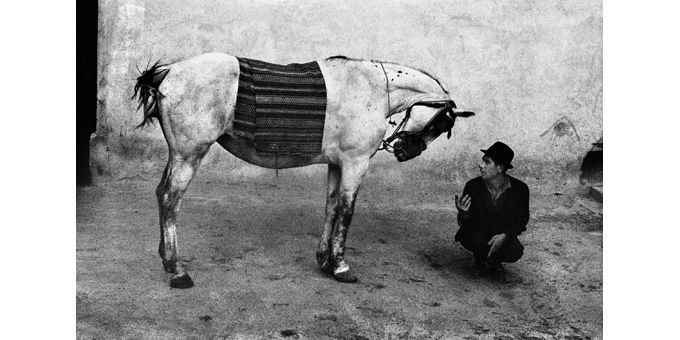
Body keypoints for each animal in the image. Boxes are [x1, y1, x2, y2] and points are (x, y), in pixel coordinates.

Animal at [131, 51, 472, 288]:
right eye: (442, 123)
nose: (405, 151)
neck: (372, 88)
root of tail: (171, 71)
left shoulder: (336, 164)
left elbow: (331, 209)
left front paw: (325, 261)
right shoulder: (355, 163)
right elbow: (346, 213)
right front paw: (341, 266)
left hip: (177, 154)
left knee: (161, 194)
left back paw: (166, 259)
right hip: (189, 154)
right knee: (170, 200)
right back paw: (177, 270)